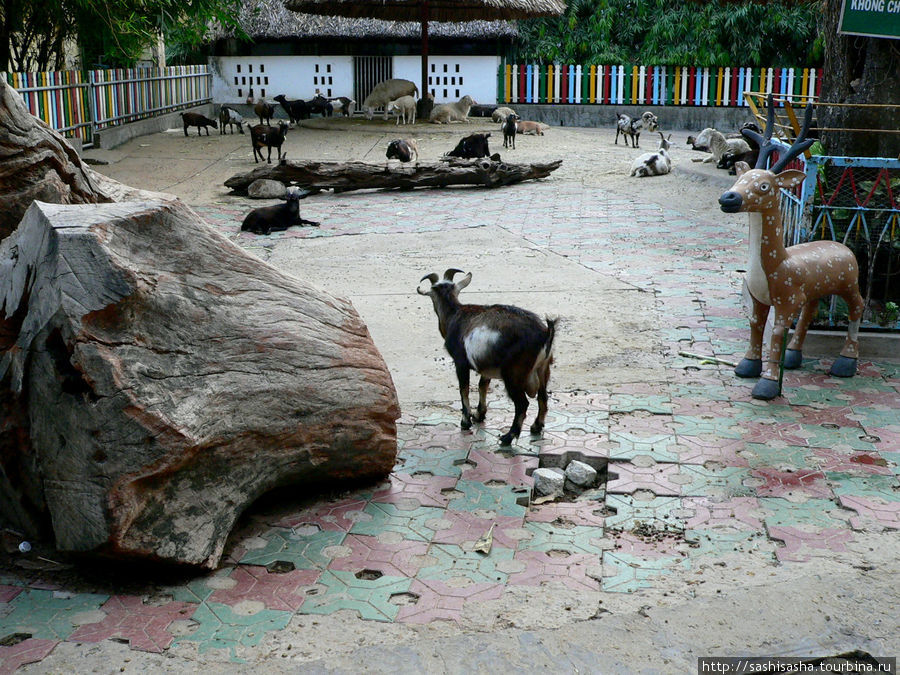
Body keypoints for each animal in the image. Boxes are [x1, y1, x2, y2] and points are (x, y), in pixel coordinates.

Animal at [416, 270, 556, 448]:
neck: (455, 313)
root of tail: (545, 334)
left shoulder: (460, 362)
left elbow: (464, 389)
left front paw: (465, 421)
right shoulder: (485, 365)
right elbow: (483, 385)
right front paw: (479, 415)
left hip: (514, 373)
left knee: (522, 404)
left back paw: (507, 437)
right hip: (543, 368)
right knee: (543, 397)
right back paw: (536, 426)